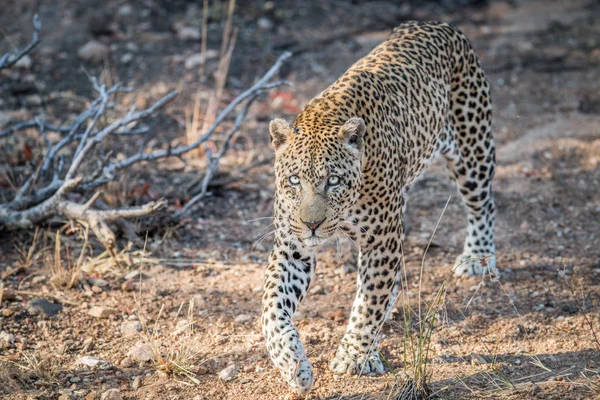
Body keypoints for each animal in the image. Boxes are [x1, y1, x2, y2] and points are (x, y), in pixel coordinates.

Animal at [262, 21, 496, 394]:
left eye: (334, 180)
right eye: (294, 180)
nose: (312, 224)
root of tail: (438, 24)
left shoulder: (381, 242)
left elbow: (369, 302)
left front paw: (355, 356)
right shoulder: (292, 247)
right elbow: (272, 306)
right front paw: (292, 364)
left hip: (473, 151)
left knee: (483, 204)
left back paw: (478, 256)